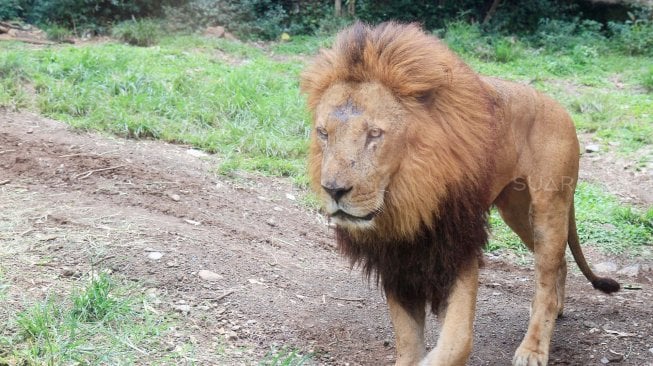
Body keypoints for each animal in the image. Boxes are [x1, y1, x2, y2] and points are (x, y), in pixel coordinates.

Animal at [298, 22, 620, 366]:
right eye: (323, 133)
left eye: (374, 134)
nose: (334, 190)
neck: (409, 195)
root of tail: (560, 107)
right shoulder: (397, 257)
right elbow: (408, 340)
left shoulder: (458, 242)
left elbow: (456, 343)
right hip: (517, 210)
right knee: (559, 263)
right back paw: (556, 309)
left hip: (550, 207)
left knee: (546, 273)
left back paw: (533, 348)